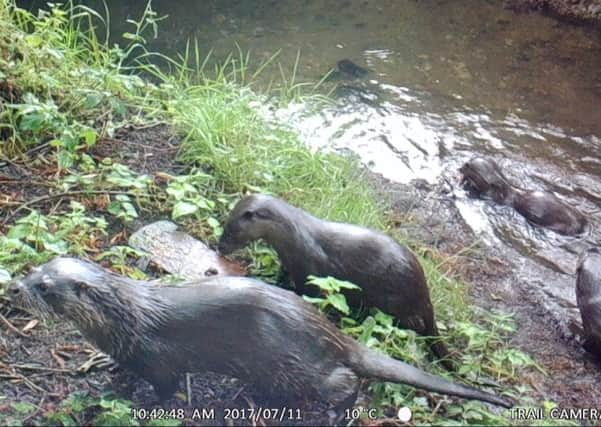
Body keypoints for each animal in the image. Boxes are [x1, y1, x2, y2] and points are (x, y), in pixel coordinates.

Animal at [9, 258, 510, 414]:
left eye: (45, 287)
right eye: (36, 268)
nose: (15, 285)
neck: (126, 319)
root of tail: (334, 336)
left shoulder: (159, 355)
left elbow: (166, 386)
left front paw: (144, 401)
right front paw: (108, 370)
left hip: (299, 367)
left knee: (346, 383)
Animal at [218, 196, 452, 366]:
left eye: (231, 231)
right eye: (225, 226)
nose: (220, 247)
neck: (294, 238)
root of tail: (423, 291)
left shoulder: (310, 271)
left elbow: (309, 293)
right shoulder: (288, 263)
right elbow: (282, 274)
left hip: (395, 302)